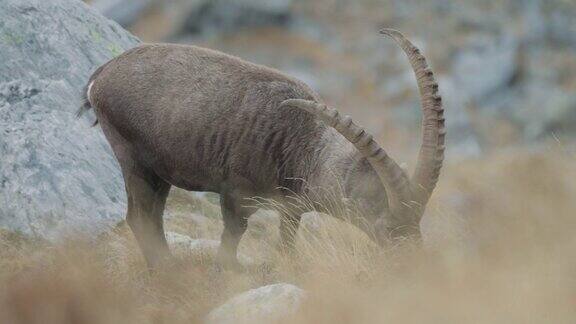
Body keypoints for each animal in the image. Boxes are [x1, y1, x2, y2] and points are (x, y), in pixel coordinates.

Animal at [77, 29, 446, 268]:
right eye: (385, 225)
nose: (413, 262)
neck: (303, 144)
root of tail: (100, 77)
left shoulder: (292, 207)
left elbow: (286, 243)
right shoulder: (236, 193)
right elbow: (233, 236)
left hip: (160, 170)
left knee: (151, 217)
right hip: (133, 157)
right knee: (139, 218)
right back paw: (167, 272)